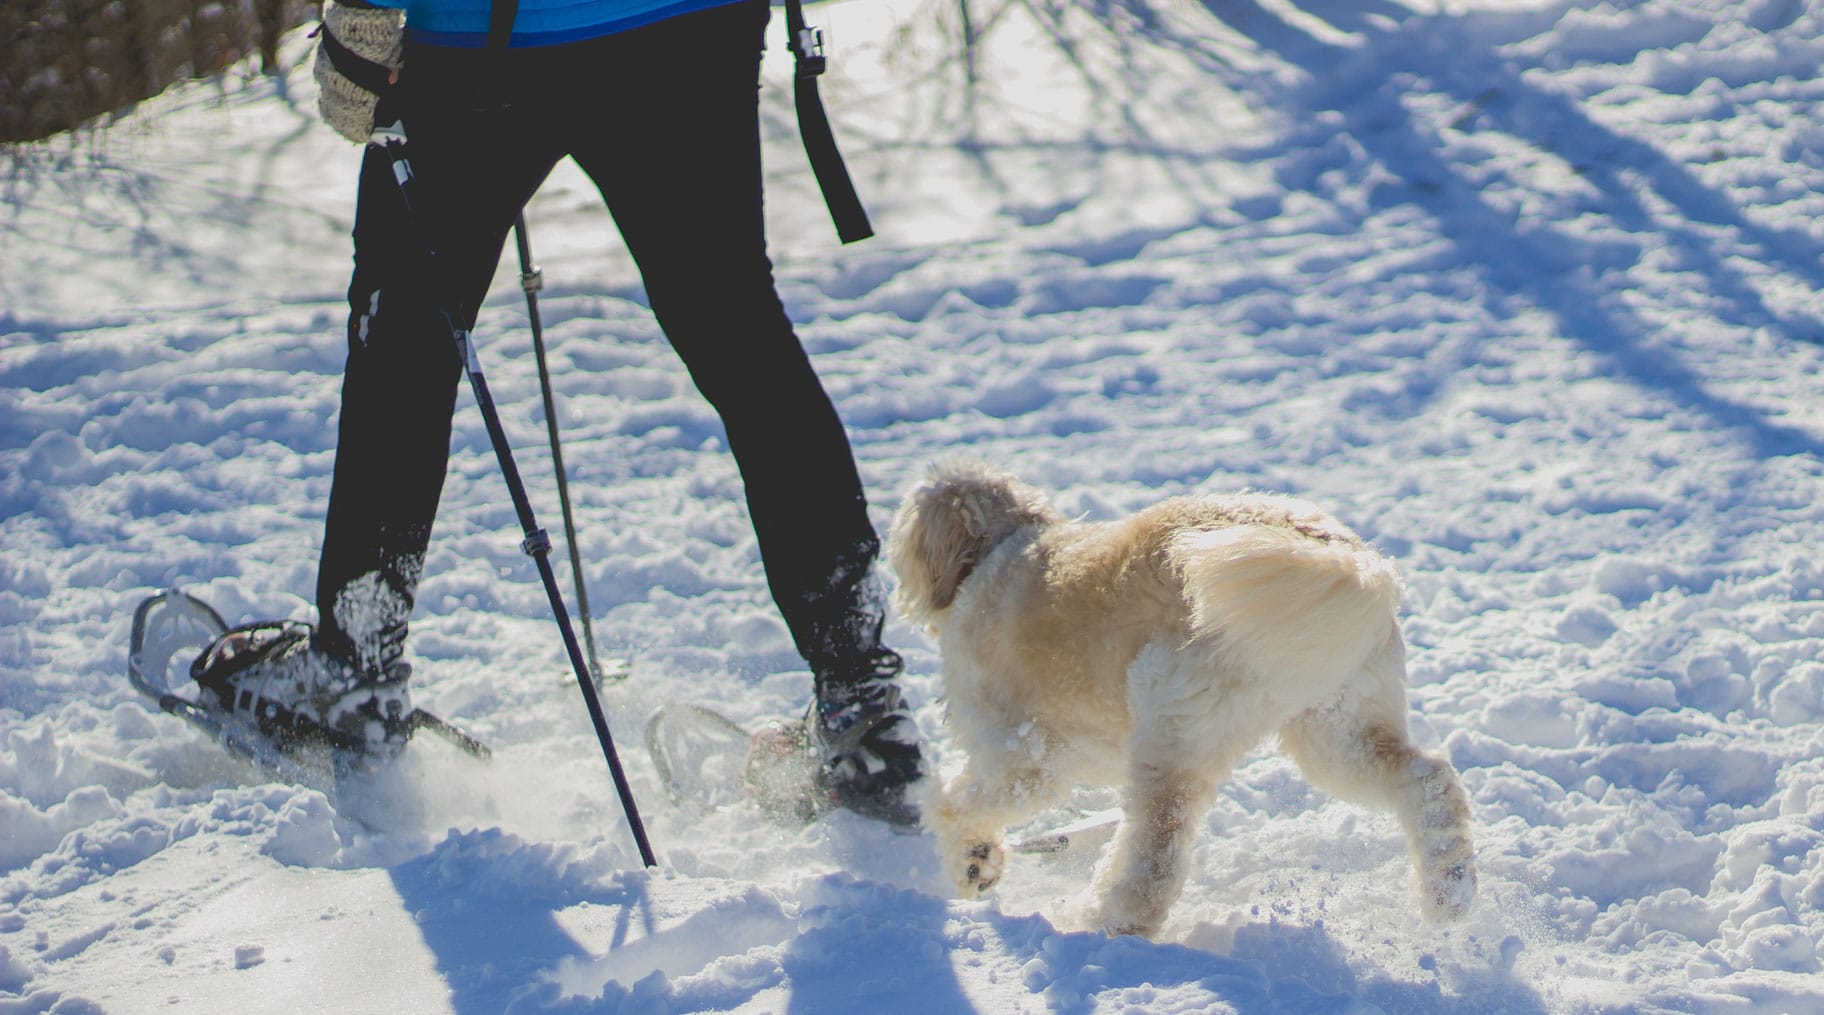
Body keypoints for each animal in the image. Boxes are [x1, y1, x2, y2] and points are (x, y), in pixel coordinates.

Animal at [890, 460, 1473, 934]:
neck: (999, 548)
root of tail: (1344, 558)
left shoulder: (1023, 758)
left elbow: (953, 806)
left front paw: (971, 859)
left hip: (1171, 728)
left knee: (1156, 857)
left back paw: (1102, 922)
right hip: (1337, 728)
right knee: (1428, 781)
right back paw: (1449, 895)